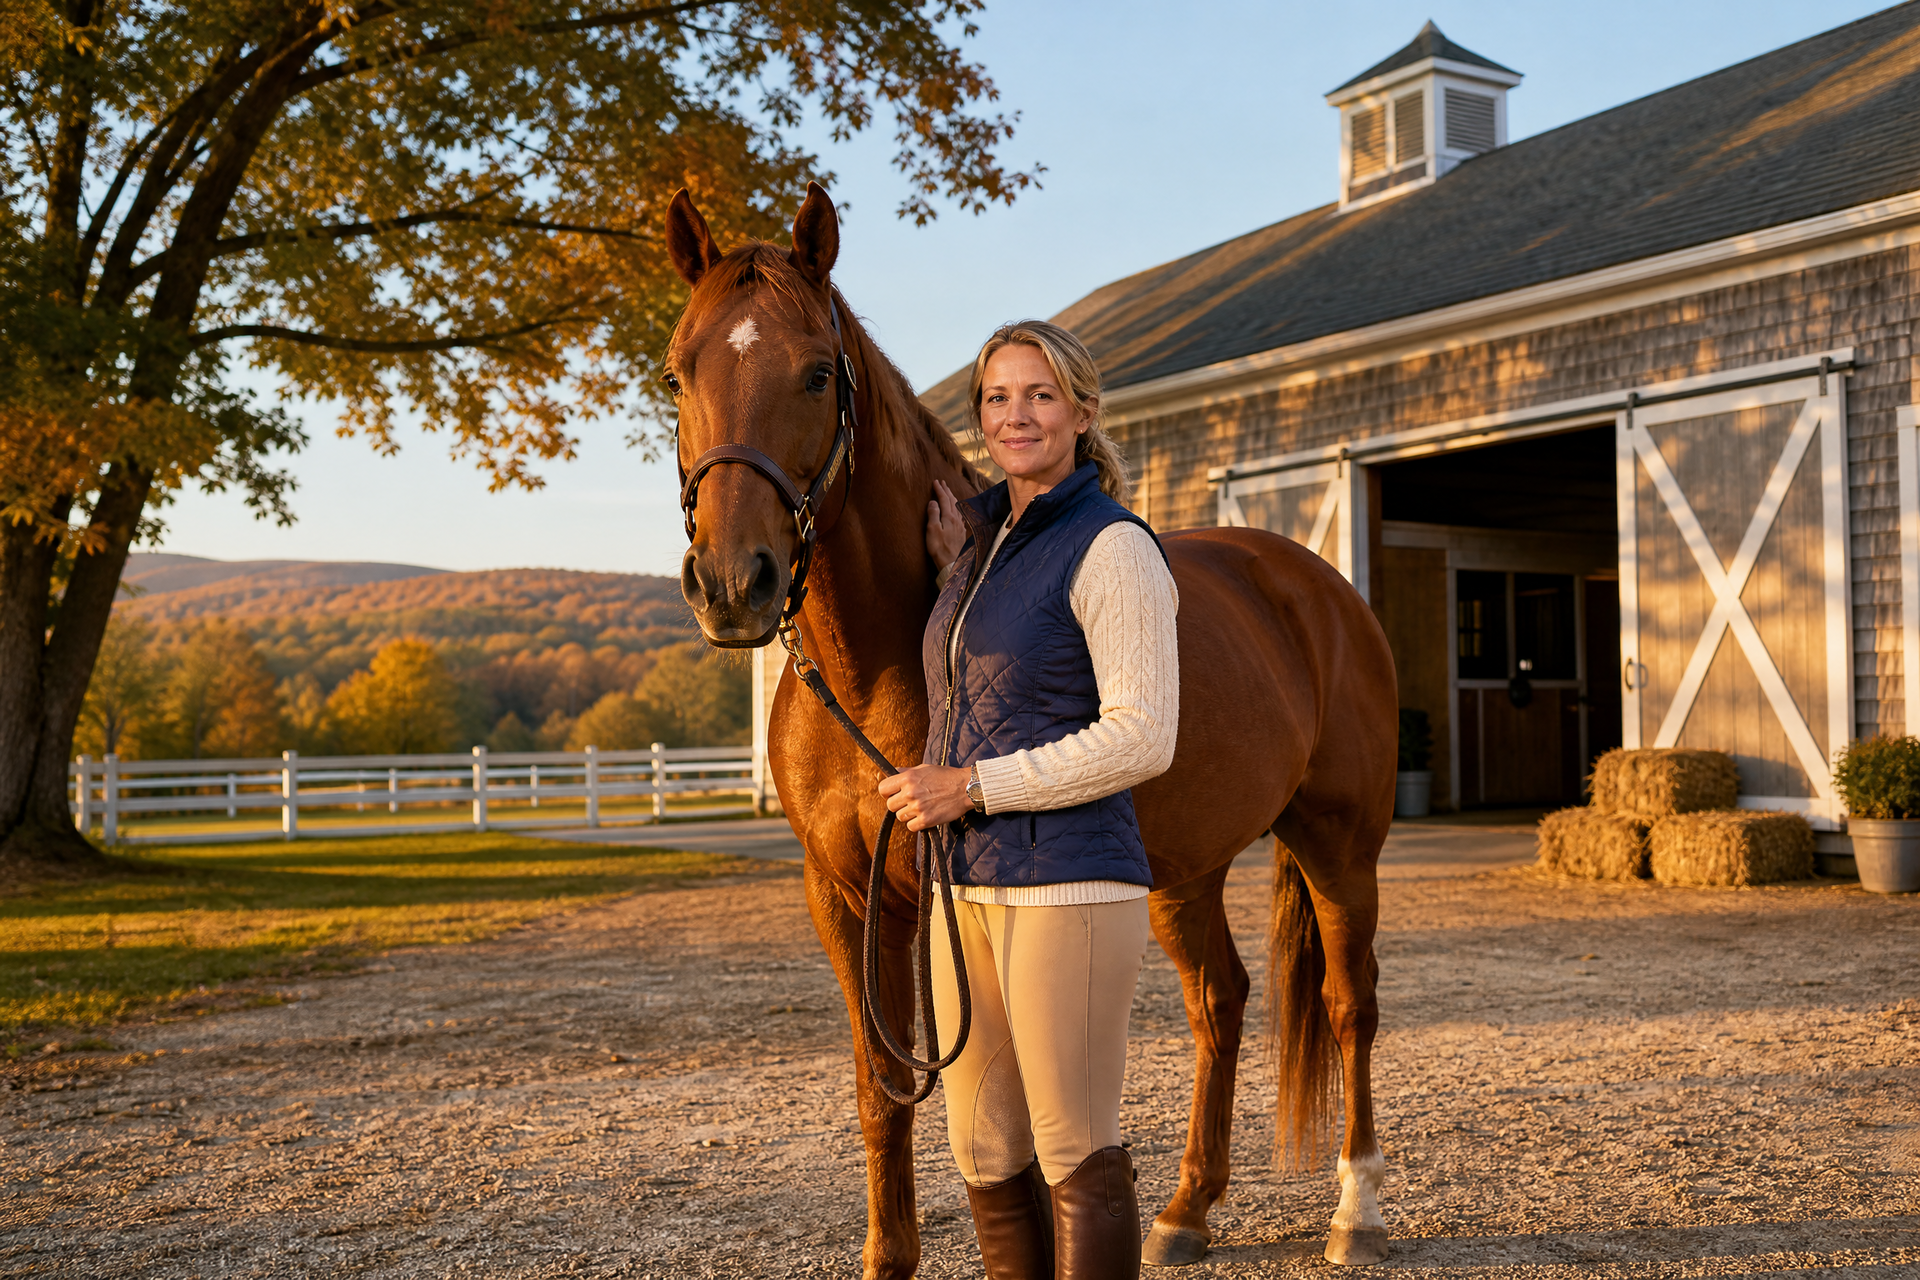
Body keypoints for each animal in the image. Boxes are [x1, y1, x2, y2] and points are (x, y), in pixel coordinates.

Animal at [662, 182, 1398, 1278]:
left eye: (817, 371)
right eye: (677, 373)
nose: (730, 582)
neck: (873, 669)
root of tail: (1316, 584)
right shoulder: (845, 897)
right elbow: (883, 1092)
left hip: (1338, 844)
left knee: (1352, 1004)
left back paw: (1358, 1207)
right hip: (1183, 871)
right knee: (1219, 999)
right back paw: (1187, 1208)